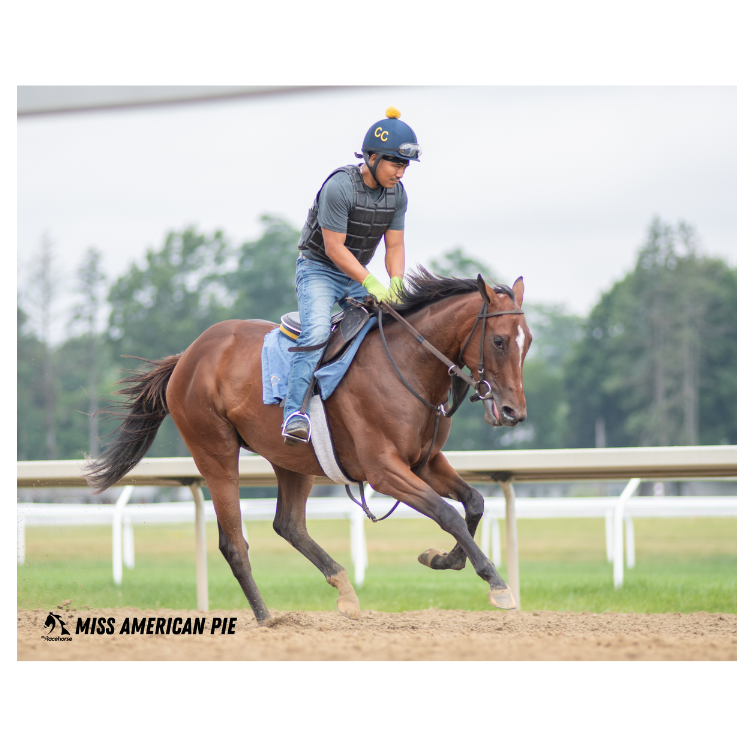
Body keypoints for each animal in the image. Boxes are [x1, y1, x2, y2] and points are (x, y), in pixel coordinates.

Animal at [85, 268, 532, 624]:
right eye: (499, 341)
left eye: (526, 342)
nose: (514, 411)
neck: (407, 366)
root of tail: (187, 356)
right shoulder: (384, 470)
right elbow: (447, 513)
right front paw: (497, 584)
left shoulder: (424, 462)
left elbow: (473, 502)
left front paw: (442, 559)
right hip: (214, 450)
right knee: (234, 542)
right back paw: (266, 617)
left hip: (291, 456)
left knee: (289, 525)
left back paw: (344, 591)